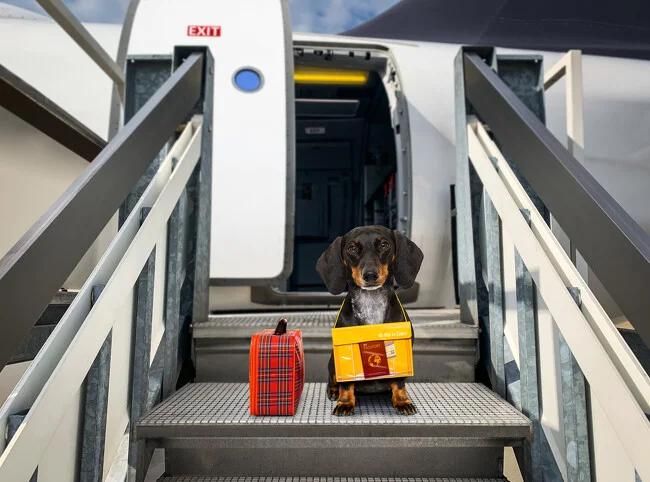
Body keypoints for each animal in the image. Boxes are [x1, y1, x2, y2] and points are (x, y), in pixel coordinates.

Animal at [316, 224, 422, 416]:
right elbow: (347, 384)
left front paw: (402, 400)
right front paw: (345, 402)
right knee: (333, 378)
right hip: (332, 361)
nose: (370, 275)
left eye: (384, 245)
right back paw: (334, 391)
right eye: (351, 248)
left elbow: (399, 382)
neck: (371, 305)